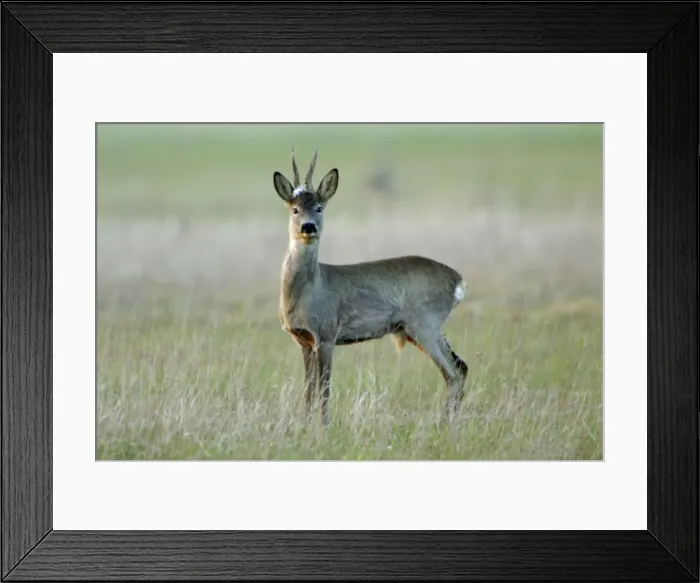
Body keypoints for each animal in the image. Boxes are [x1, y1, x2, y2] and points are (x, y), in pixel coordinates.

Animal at [273, 148, 469, 427]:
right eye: (295, 209)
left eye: (320, 207)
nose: (308, 227)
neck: (306, 292)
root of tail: (458, 280)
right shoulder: (304, 340)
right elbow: (308, 390)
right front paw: (304, 424)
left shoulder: (326, 334)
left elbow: (324, 388)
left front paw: (324, 427)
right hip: (422, 328)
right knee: (461, 366)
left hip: (425, 323)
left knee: (452, 372)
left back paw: (445, 424)